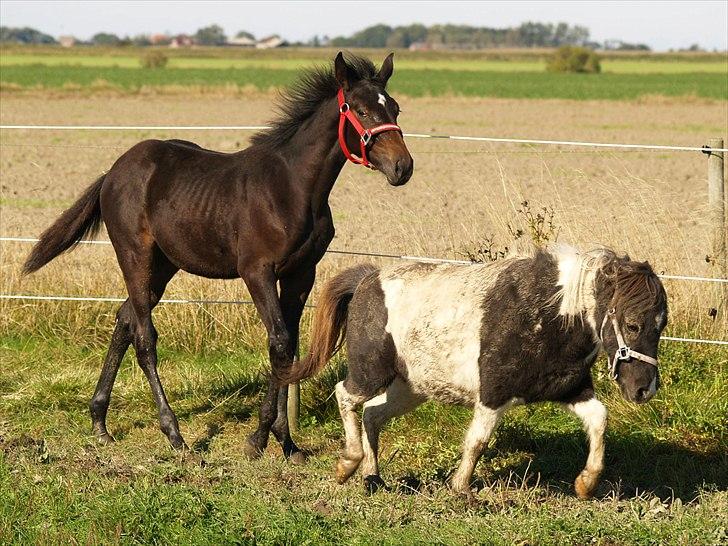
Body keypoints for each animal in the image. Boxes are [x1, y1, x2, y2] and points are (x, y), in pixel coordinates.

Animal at [22, 52, 412, 460]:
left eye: (395, 108)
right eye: (360, 110)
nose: (402, 167)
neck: (294, 189)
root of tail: (114, 171)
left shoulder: (301, 273)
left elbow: (289, 345)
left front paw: (287, 442)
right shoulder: (257, 271)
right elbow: (279, 342)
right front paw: (259, 438)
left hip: (164, 265)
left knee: (125, 318)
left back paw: (100, 422)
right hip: (135, 256)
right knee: (144, 336)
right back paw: (174, 434)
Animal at [282, 246, 668, 498]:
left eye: (661, 325)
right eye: (632, 325)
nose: (644, 390)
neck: (549, 313)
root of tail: (366, 280)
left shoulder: (569, 389)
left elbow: (600, 419)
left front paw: (586, 484)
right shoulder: (493, 393)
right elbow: (478, 440)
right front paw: (461, 488)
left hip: (410, 388)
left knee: (372, 416)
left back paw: (373, 479)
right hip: (371, 373)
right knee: (345, 396)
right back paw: (348, 464)